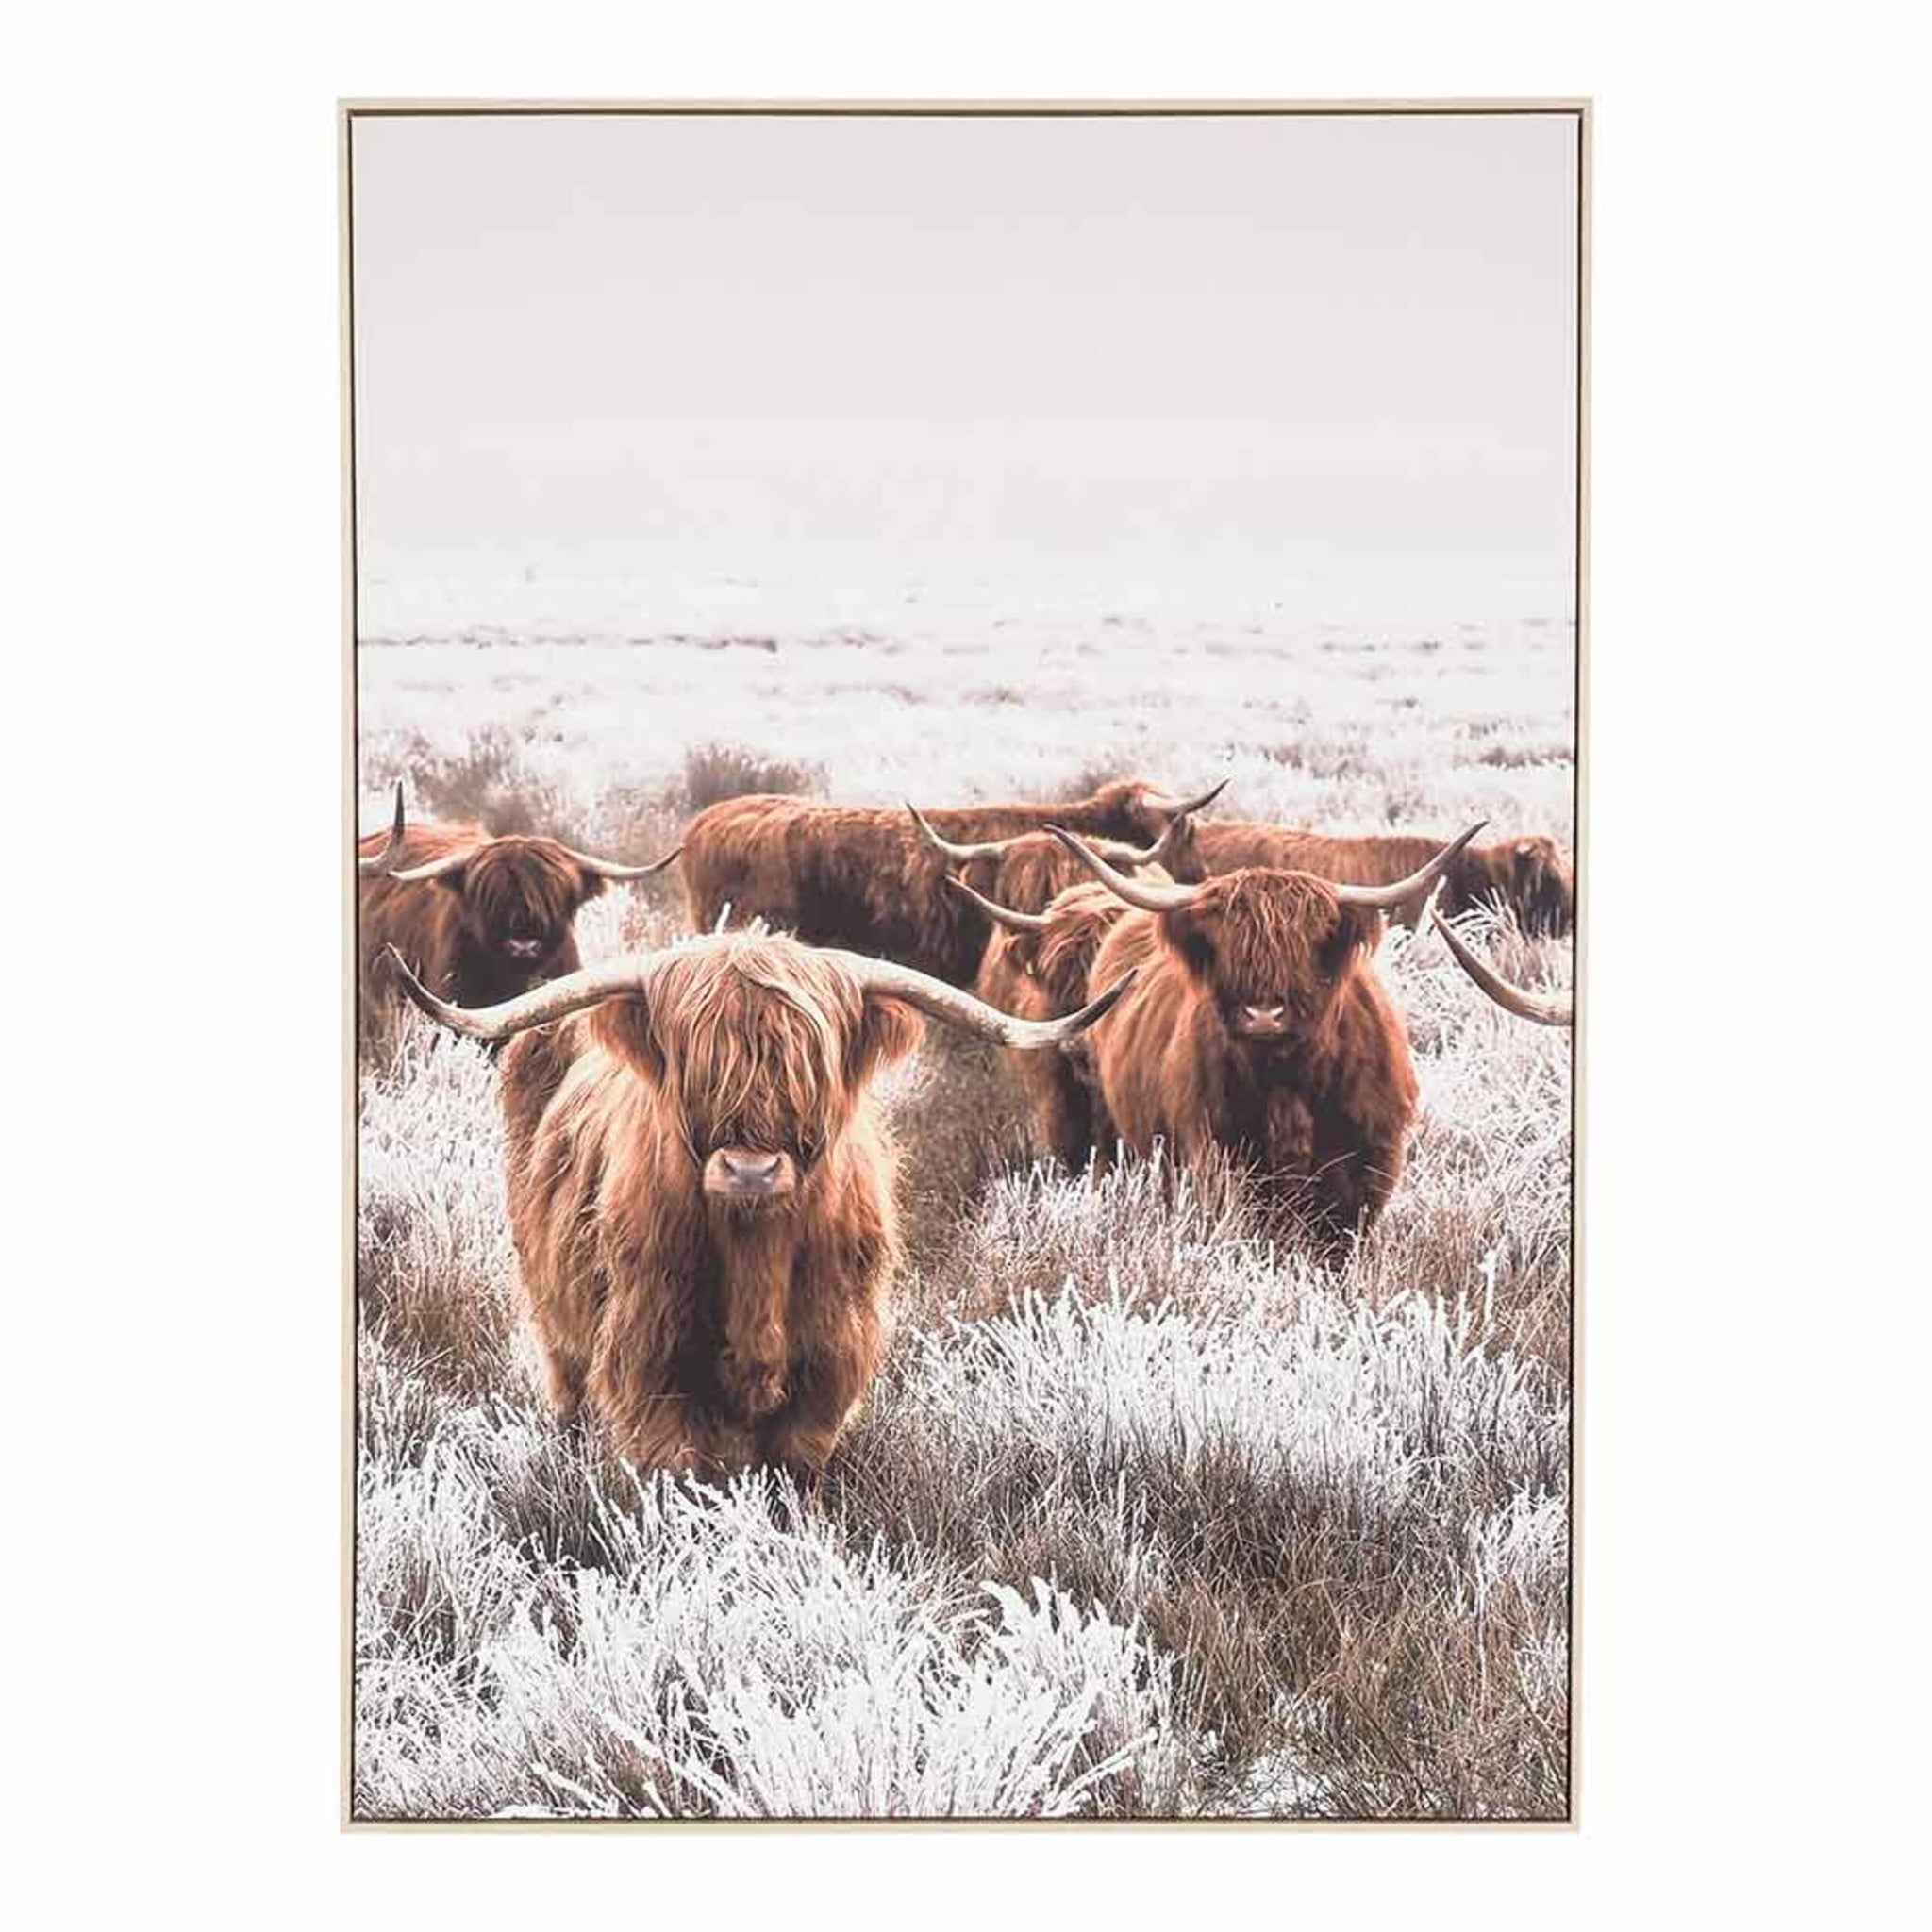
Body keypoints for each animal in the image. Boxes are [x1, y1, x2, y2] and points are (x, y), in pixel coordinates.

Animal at [385, 933, 1136, 1476]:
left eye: (810, 1067)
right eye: (695, 1067)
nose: (751, 1169)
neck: (756, 1257)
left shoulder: (830, 1364)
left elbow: (792, 1472)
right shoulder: (649, 1361)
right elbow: (678, 1475)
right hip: (556, 1319)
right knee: (567, 1392)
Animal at [1045, 821, 1484, 1251]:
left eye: (1306, 947)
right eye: (1226, 947)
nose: (1263, 1016)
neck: (1285, 1082)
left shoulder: (1365, 1166)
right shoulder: (1218, 1155)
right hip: (1113, 1128)